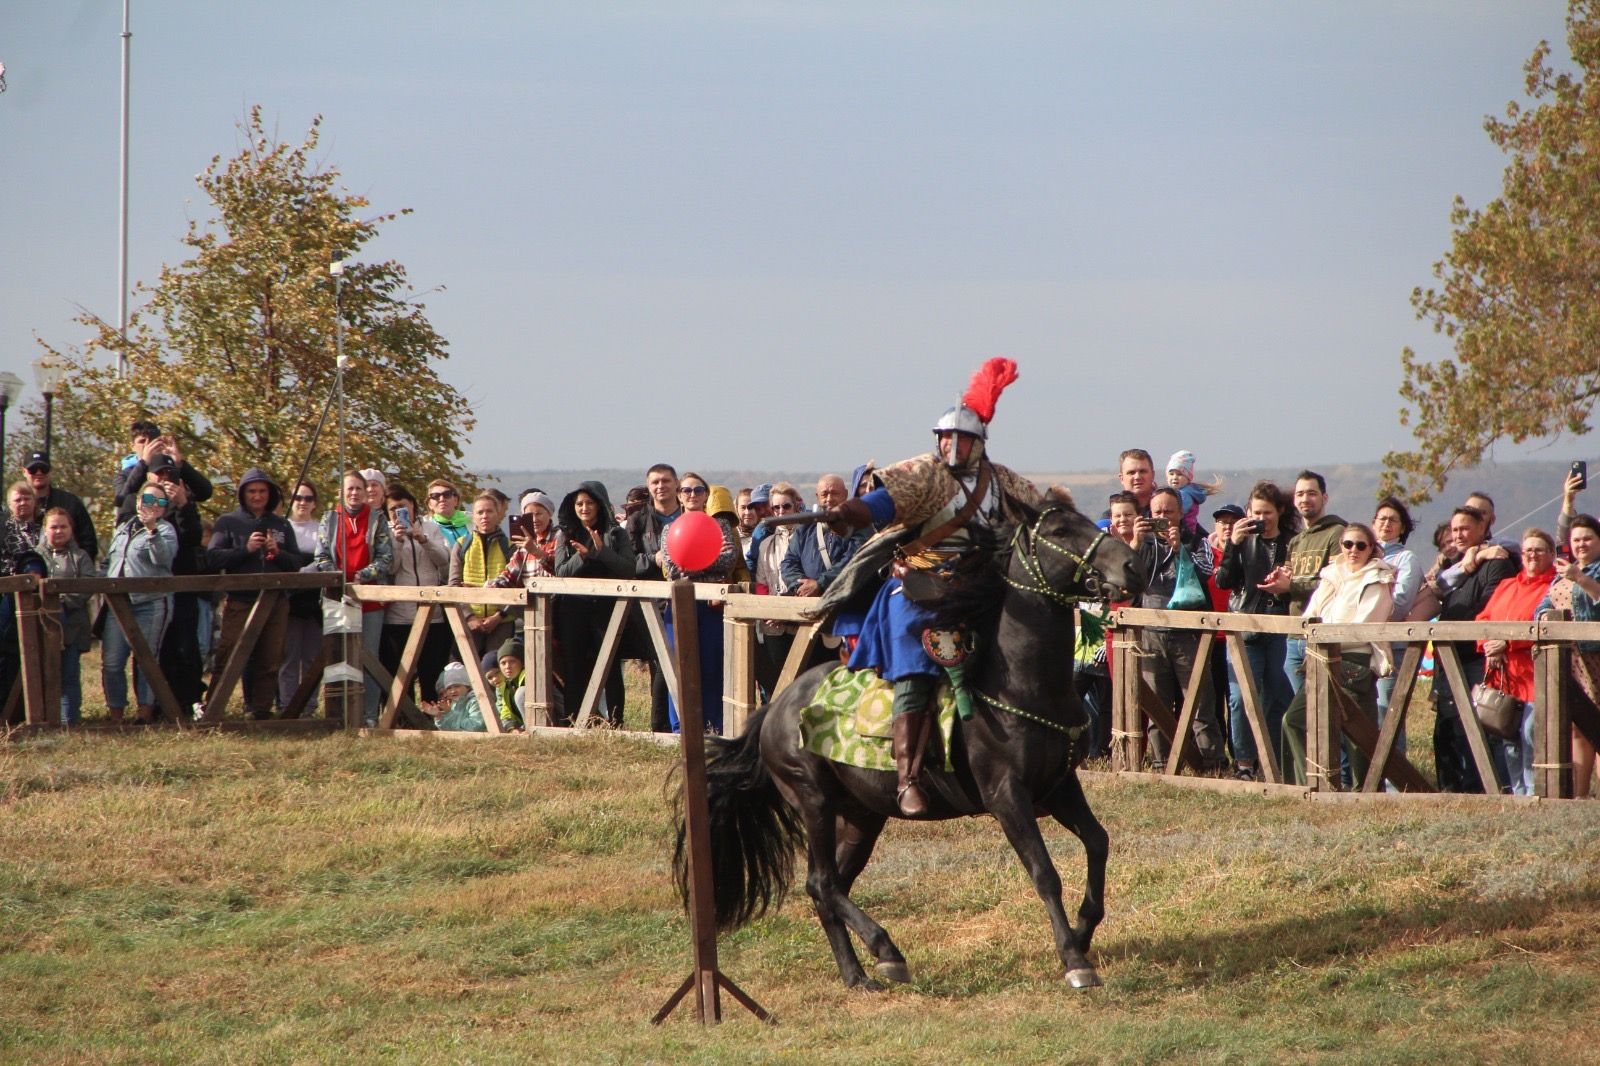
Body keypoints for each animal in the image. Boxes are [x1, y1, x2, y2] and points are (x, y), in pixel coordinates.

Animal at [668, 499, 1145, 985]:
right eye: (1061, 531)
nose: (1132, 565)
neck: (1020, 684)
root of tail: (775, 708)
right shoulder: (1006, 796)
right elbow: (1044, 871)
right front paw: (1074, 959)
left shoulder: (1060, 786)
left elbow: (1098, 842)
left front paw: (1084, 930)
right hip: (812, 799)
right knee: (822, 882)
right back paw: (885, 950)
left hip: (862, 816)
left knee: (830, 886)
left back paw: (859, 972)